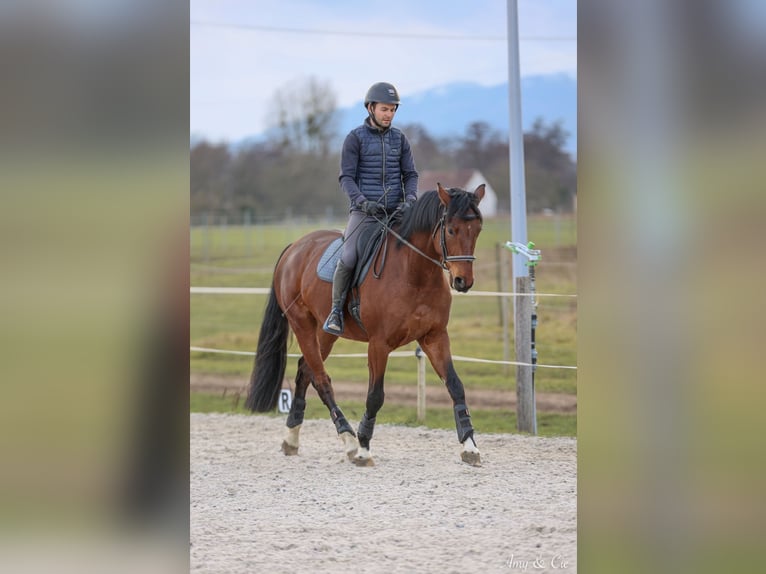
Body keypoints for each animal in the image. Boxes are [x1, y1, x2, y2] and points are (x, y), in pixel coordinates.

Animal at [245, 183, 486, 466]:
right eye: (450, 230)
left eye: (477, 229)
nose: (463, 281)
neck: (414, 274)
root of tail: (295, 247)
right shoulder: (379, 344)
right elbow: (375, 396)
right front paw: (363, 449)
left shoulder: (434, 337)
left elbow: (455, 386)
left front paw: (469, 446)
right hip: (302, 324)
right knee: (321, 379)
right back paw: (348, 440)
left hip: (324, 332)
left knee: (307, 370)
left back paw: (292, 438)